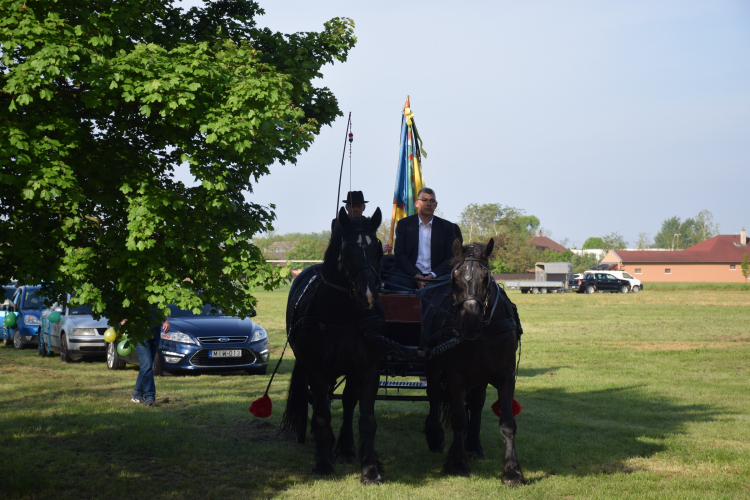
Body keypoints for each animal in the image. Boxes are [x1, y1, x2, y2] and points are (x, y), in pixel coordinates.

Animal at [284, 207, 388, 484]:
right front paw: (321, 464)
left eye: (378, 248)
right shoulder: (317, 369)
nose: (368, 294)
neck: (343, 314)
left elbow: (367, 418)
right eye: (348, 249)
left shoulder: (368, 368)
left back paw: (344, 447)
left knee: (349, 401)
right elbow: (322, 415)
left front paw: (370, 469)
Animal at [424, 239, 528, 484]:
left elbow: (507, 422)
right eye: (454, 278)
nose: (469, 323)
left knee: (477, 403)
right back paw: (435, 435)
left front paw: (512, 470)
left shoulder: (506, 375)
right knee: (434, 395)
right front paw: (457, 463)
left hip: (481, 376)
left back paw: (473, 445)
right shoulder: (455, 376)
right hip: (434, 366)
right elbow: (459, 418)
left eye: (486, 278)